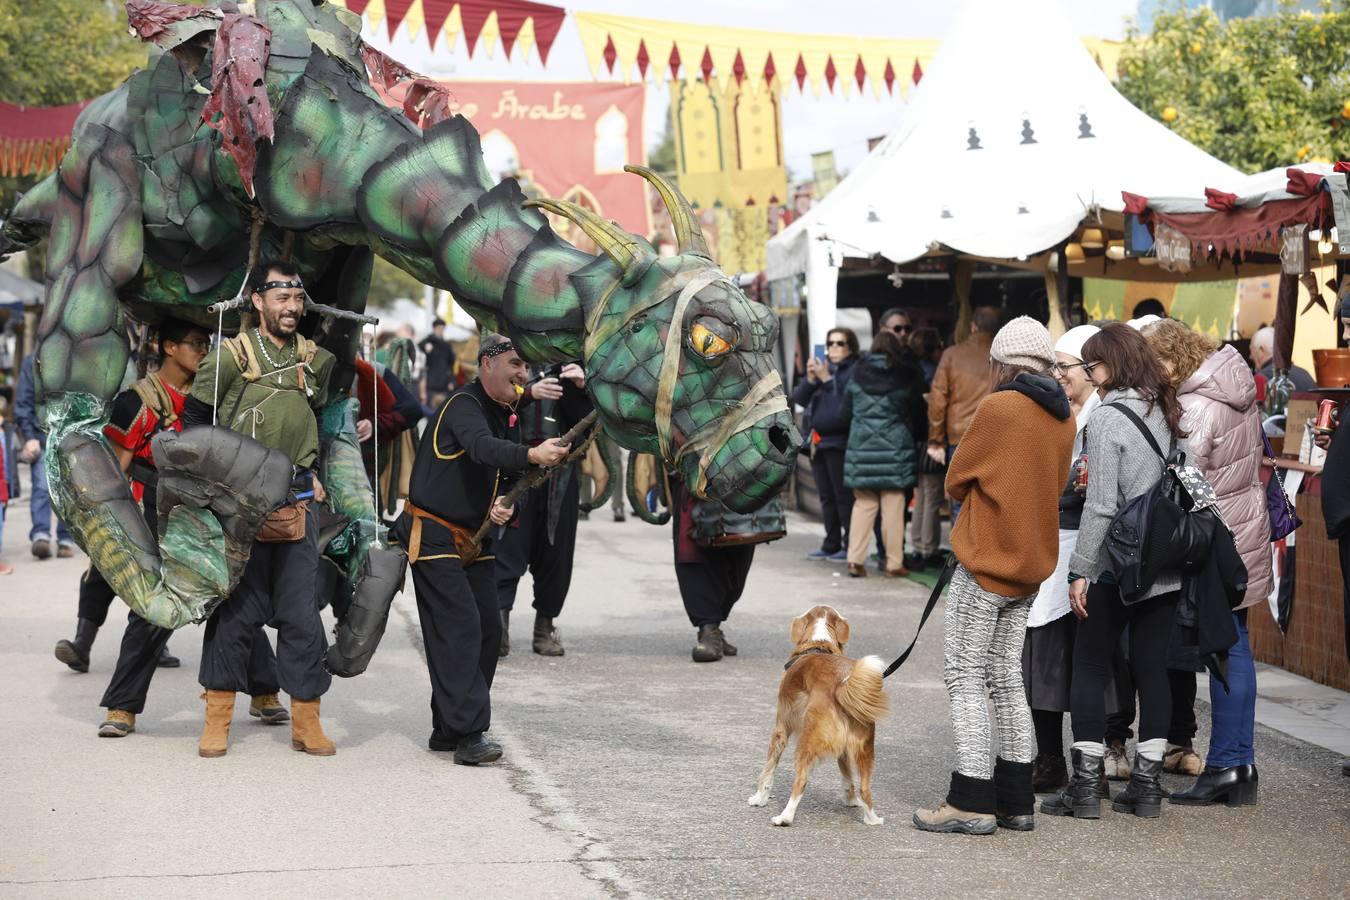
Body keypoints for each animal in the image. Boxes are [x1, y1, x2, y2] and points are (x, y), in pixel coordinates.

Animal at [750, 604, 885, 825]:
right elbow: (848, 779)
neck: (818, 643)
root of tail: (842, 685)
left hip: (806, 742)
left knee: (801, 782)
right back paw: (872, 819)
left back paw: (784, 817)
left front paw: (759, 798)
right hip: (865, 749)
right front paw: (850, 801)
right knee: (865, 789)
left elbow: (768, 770)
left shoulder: (780, 729)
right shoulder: (843, 751)